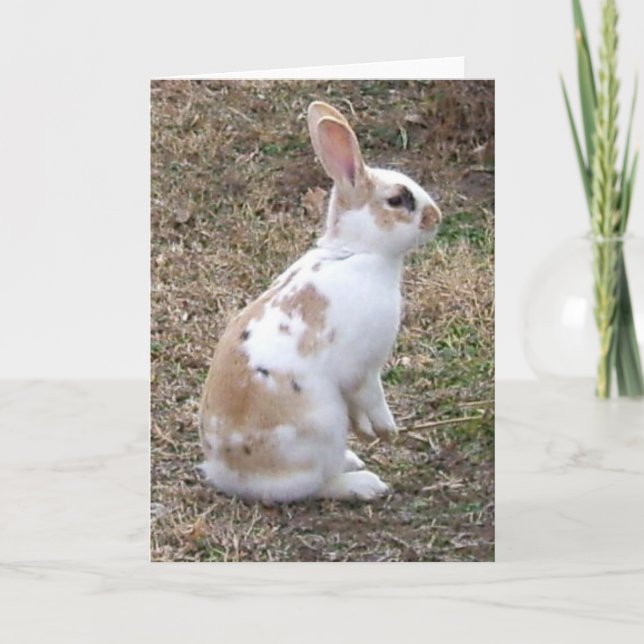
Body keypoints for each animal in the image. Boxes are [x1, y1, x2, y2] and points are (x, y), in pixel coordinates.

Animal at [199, 100, 441, 503]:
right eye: (396, 200)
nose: (436, 218)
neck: (358, 251)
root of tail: (229, 475)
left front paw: (369, 433)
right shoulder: (365, 368)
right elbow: (373, 397)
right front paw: (387, 431)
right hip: (321, 428)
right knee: (316, 485)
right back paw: (364, 484)